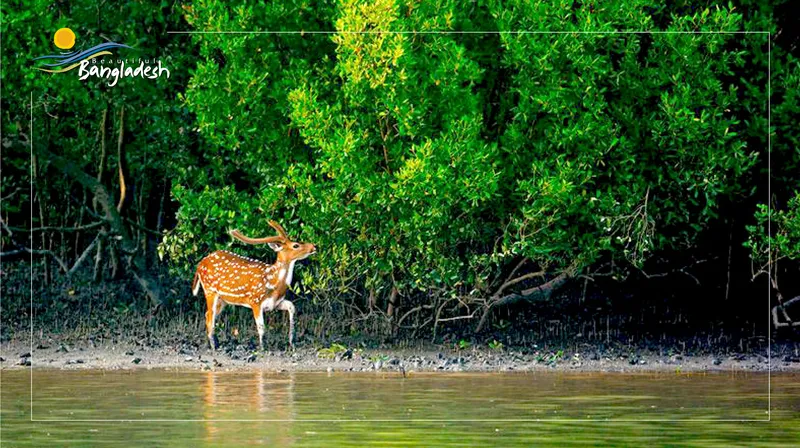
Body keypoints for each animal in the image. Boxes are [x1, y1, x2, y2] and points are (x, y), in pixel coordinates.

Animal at [192, 222, 318, 352]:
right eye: (296, 245)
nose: (314, 246)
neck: (273, 283)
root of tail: (200, 264)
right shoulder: (255, 301)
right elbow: (261, 327)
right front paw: (263, 348)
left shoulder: (275, 303)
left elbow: (292, 307)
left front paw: (292, 342)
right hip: (210, 290)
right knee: (210, 316)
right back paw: (214, 346)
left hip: (223, 300)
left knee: (208, 314)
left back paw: (214, 343)